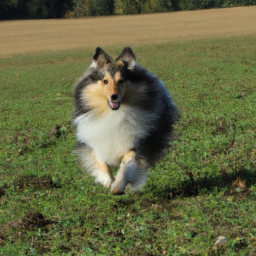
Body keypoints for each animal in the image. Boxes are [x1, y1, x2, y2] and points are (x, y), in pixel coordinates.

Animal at [72, 46, 178, 194]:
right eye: (105, 81)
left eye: (121, 81)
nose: (114, 96)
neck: (114, 114)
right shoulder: (95, 140)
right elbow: (102, 162)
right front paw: (108, 181)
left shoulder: (137, 143)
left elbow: (126, 165)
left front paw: (117, 186)